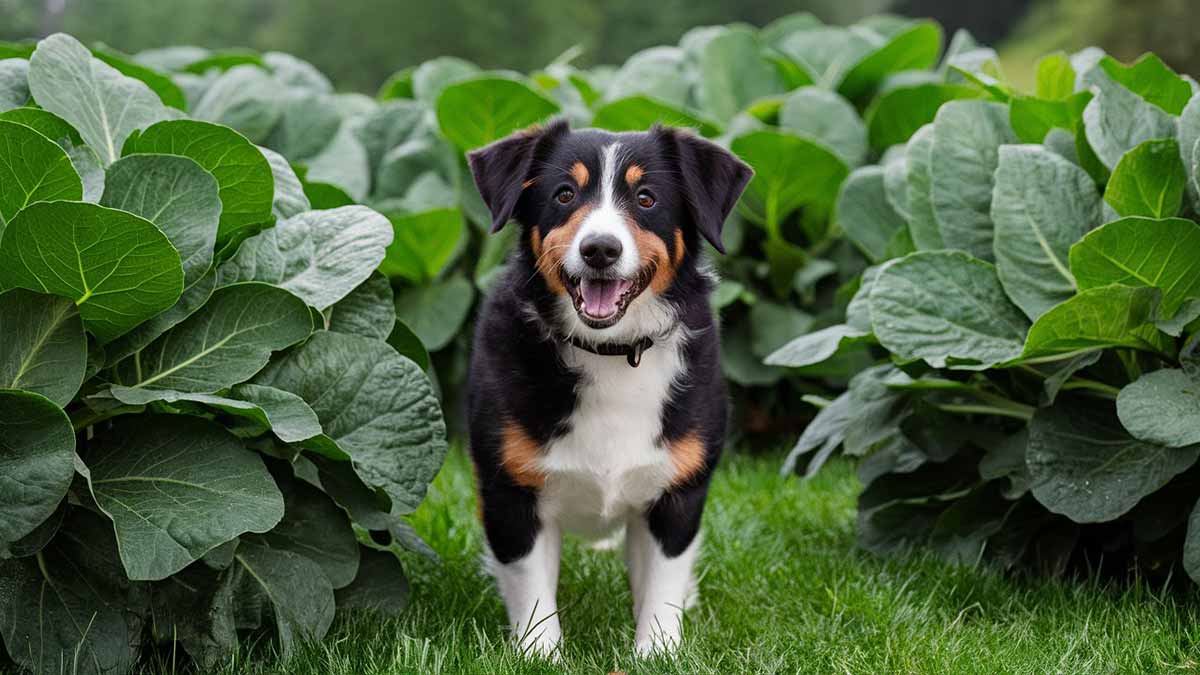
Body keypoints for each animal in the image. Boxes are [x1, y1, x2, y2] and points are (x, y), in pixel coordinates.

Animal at [465, 118, 748, 653]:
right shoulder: (510, 491)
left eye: (646, 198)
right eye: (564, 194)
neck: (611, 354)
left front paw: (656, 653)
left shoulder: (678, 494)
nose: (600, 249)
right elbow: (533, 594)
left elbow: (660, 588)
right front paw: (540, 654)